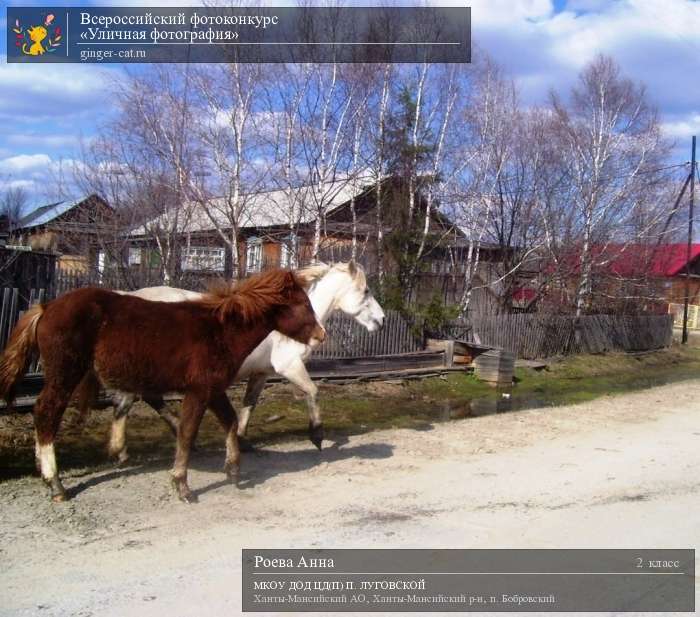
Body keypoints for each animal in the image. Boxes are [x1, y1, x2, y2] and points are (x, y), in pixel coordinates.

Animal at [0, 270, 326, 500]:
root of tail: (46, 306)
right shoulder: (198, 391)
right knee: (47, 412)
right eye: (302, 304)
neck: (219, 331)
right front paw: (181, 485)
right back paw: (56, 484)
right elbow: (187, 432)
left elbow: (231, 421)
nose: (321, 335)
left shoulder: (212, 389)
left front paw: (233, 470)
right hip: (65, 372)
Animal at [98, 260, 382, 458]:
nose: (381, 319)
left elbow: (249, 405)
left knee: (148, 399)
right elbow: (313, 391)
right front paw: (317, 436)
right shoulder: (289, 366)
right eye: (366, 290)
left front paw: (243, 441)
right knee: (127, 401)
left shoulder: (261, 374)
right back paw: (122, 451)